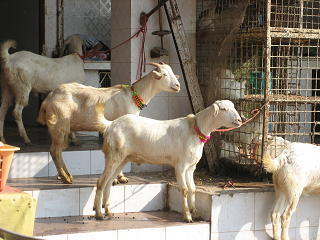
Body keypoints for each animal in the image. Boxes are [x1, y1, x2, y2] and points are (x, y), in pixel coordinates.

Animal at [38, 62, 180, 184]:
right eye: (164, 74)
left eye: (173, 73)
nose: (178, 85)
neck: (132, 97)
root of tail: (49, 98)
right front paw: (119, 178)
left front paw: (119, 178)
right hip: (59, 125)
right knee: (55, 151)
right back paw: (66, 178)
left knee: (58, 151)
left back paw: (67, 175)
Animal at [93, 99, 242, 221]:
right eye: (223, 109)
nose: (240, 120)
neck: (195, 130)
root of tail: (110, 125)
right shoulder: (180, 165)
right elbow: (185, 190)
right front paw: (187, 216)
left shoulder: (190, 167)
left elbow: (193, 189)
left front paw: (195, 212)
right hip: (114, 156)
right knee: (101, 182)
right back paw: (99, 214)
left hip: (122, 158)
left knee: (109, 182)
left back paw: (108, 211)